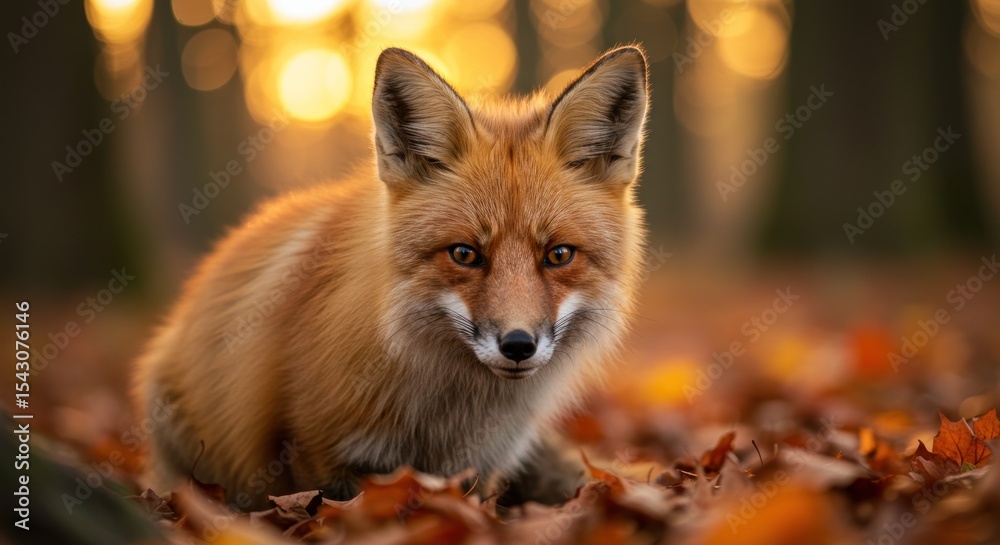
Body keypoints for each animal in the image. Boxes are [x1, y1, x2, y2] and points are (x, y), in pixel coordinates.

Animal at [134, 45, 649, 509]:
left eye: (558, 255)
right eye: (464, 254)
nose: (518, 345)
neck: (445, 415)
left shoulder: (484, 464)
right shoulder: (314, 454)